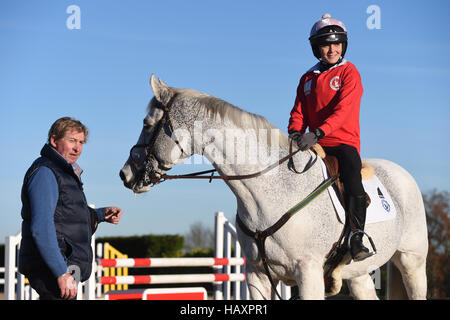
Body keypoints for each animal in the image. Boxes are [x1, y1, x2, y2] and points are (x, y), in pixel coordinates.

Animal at [119, 75, 428, 300]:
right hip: (360, 274)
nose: (125, 174)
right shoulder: (257, 275)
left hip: (412, 263)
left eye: (147, 124)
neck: (268, 189)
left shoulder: (308, 273)